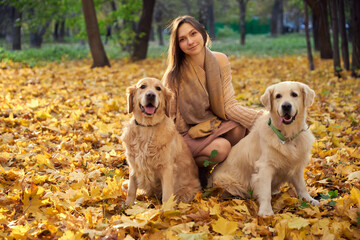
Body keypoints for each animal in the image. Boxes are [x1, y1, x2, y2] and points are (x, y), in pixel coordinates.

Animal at [210, 81, 320, 217]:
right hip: (229, 183)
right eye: (278, 96)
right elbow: (266, 192)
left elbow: (302, 186)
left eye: (294, 94)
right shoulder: (265, 167)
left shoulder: (297, 166)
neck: (287, 137)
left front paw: (309, 200)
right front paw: (266, 211)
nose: (286, 106)